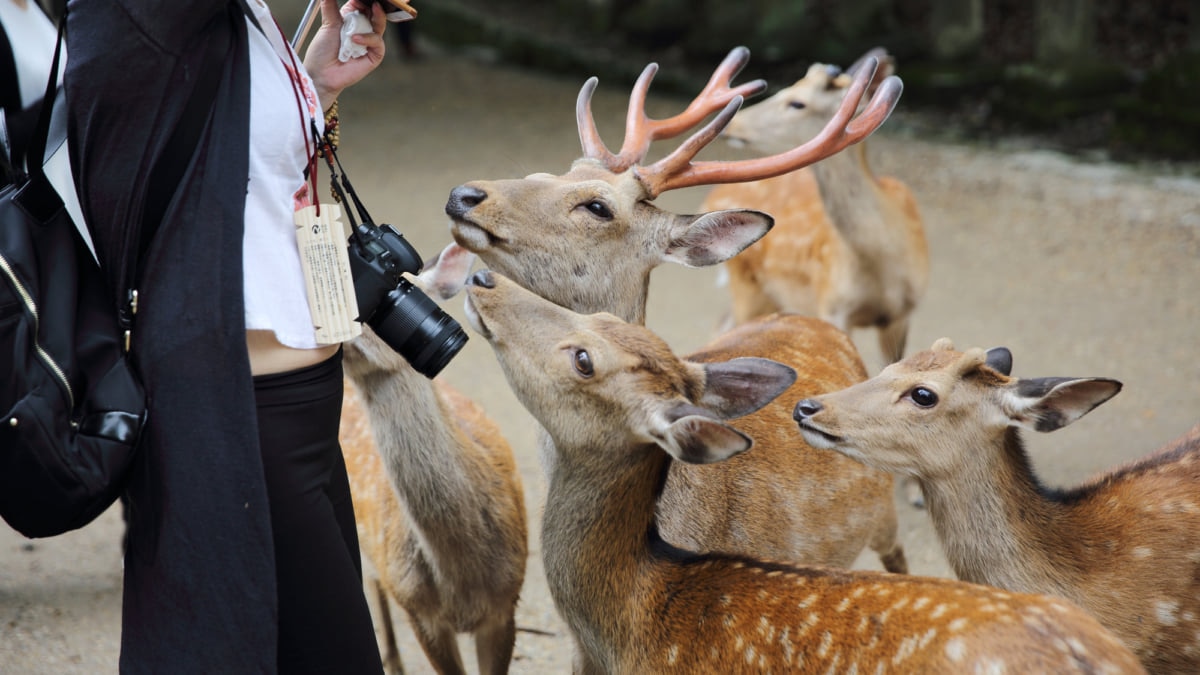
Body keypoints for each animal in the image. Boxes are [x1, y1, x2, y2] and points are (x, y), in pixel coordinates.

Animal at [700, 45, 926, 367]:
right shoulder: (832, 303)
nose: (732, 122)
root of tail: (712, 196)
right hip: (746, 281)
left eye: (797, 102)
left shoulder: (903, 313)